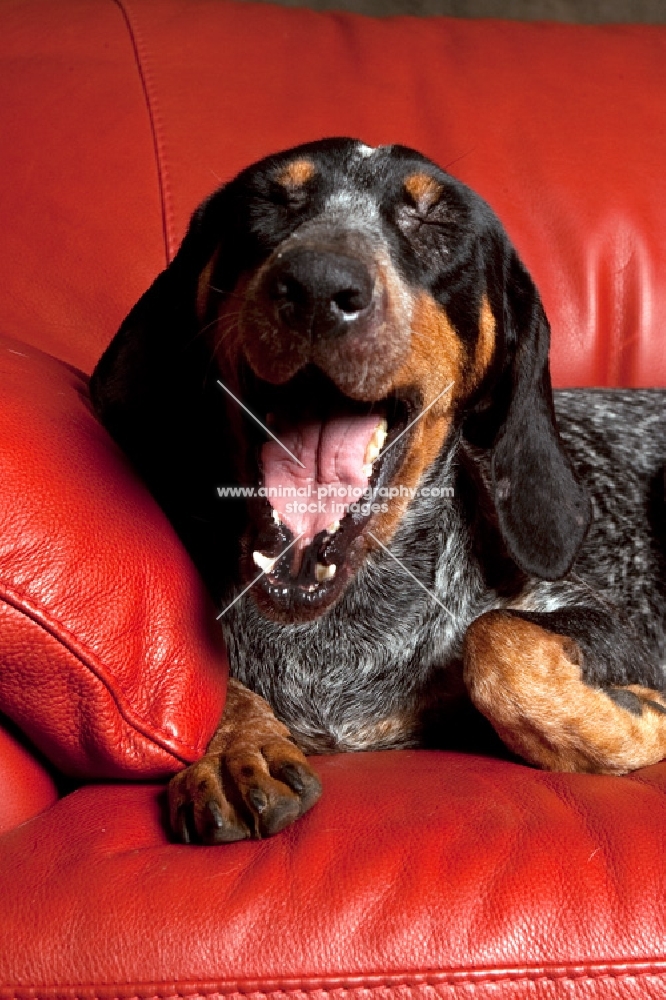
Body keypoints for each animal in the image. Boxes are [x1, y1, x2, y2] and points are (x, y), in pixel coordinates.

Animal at [91, 139, 664, 844]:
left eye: (437, 223)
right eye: (271, 201)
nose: (317, 284)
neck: (334, 631)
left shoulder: (623, 630)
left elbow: (498, 640)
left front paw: (635, 725)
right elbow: (210, 680)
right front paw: (234, 745)